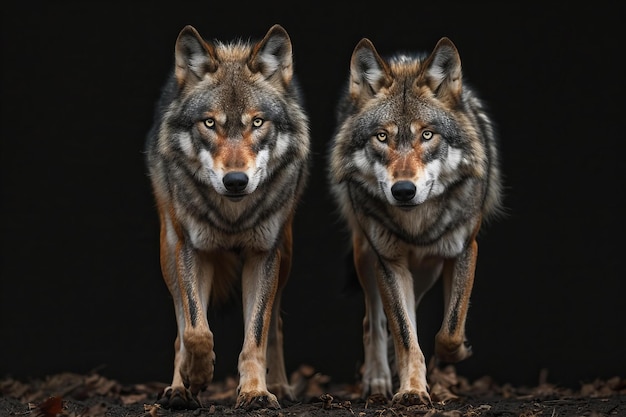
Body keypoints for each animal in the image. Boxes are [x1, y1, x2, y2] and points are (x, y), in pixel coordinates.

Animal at [146, 23, 312, 410]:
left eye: (258, 122)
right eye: (209, 123)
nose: (235, 181)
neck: (232, 217)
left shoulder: (263, 254)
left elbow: (256, 336)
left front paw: (255, 392)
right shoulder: (192, 250)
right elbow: (195, 329)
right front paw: (196, 375)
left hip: (285, 256)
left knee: (275, 326)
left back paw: (278, 385)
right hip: (168, 252)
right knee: (180, 327)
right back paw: (178, 389)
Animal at [326, 37, 502, 404]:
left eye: (427, 135)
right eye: (381, 136)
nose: (403, 191)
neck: (417, 224)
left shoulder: (465, 249)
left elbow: (449, 330)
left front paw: (458, 352)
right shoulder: (389, 262)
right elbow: (406, 335)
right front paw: (411, 390)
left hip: (427, 269)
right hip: (366, 255)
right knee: (374, 322)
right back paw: (378, 379)